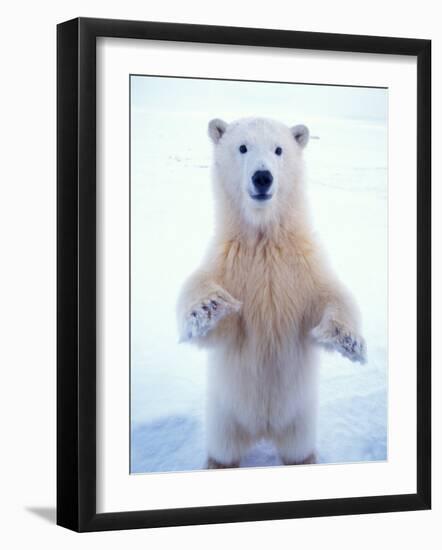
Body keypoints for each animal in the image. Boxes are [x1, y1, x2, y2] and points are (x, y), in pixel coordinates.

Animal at [176, 116, 366, 470]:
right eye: (242, 147)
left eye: (279, 149)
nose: (262, 177)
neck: (264, 239)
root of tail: (263, 429)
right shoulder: (228, 262)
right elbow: (206, 305)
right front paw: (209, 305)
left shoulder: (301, 265)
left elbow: (331, 294)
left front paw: (348, 340)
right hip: (224, 416)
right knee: (223, 450)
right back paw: (217, 463)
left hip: (300, 418)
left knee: (298, 450)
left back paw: (305, 459)